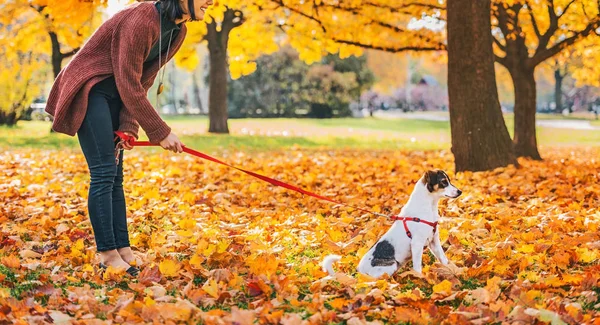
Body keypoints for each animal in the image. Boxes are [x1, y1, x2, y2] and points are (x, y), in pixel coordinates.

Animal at [324, 168, 460, 278]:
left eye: (448, 180)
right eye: (443, 182)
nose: (460, 192)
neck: (428, 207)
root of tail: (359, 273)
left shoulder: (434, 241)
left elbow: (443, 259)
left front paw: (451, 270)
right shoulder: (417, 243)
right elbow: (417, 267)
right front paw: (420, 278)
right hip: (391, 265)